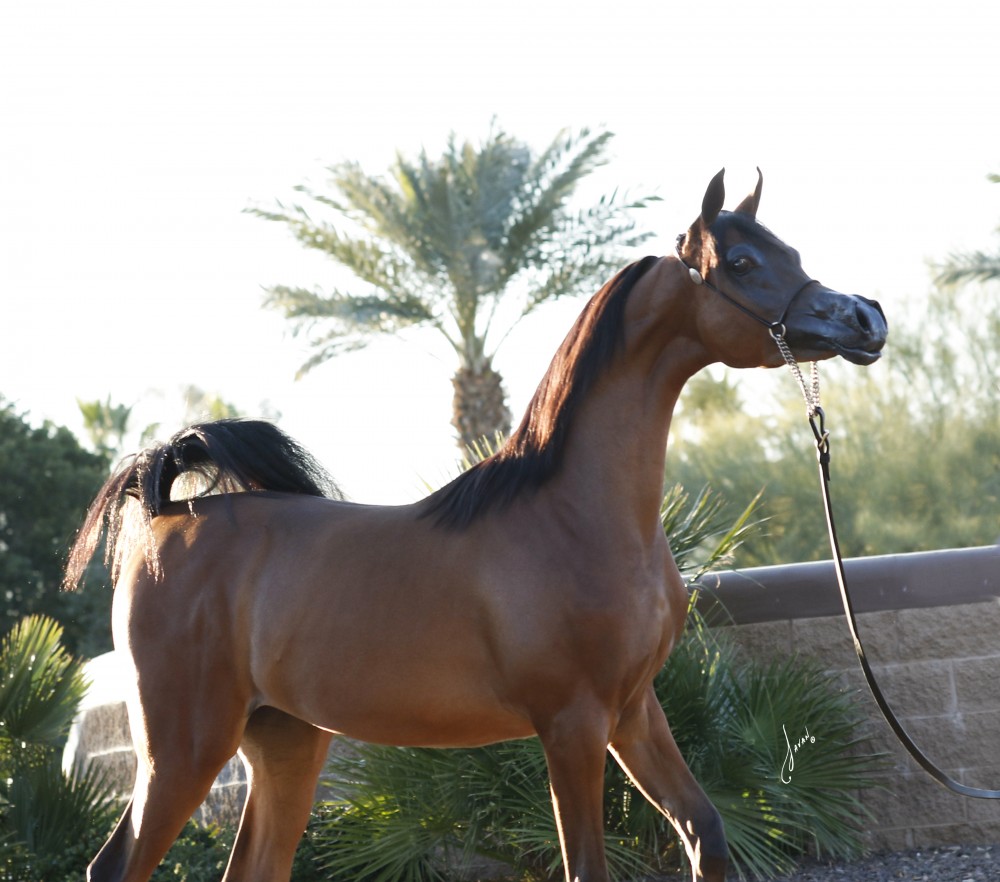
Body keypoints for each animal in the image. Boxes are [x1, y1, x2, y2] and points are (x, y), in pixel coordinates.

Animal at [65, 168, 887, 882]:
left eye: (792, 254)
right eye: (743, 262)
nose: (865, 317)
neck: (575, 517)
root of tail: (165, 511)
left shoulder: (632, 710)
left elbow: (705, 832)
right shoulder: (572, 724)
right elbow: (586, 867)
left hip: (285, 741)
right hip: (183, 748)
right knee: (116, 865)